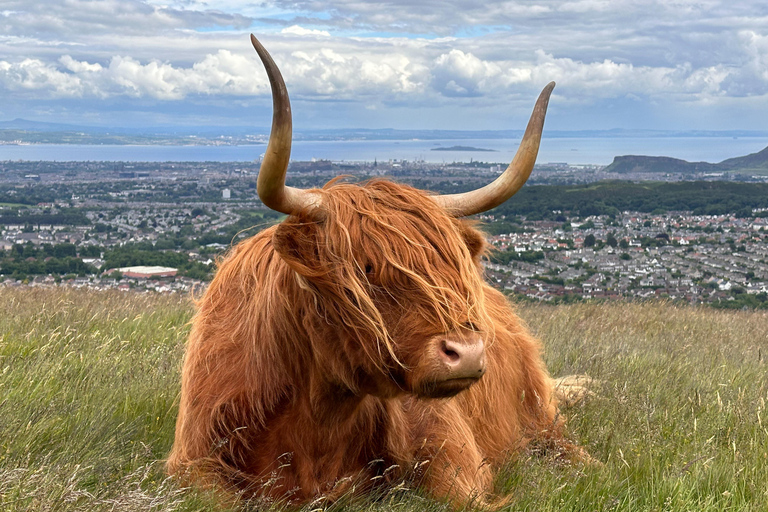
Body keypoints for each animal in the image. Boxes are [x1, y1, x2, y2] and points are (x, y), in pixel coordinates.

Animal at [167, 35, 590, 508]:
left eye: (452, 268)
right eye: (366, 269)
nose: (467, 352)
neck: (316, 415)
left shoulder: (451, 451)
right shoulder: (192, 460)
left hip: (540, 413)